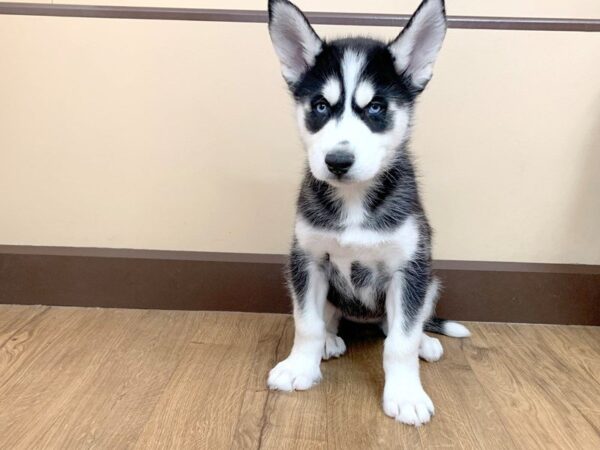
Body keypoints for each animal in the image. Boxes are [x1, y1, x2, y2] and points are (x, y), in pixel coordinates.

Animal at [266, 0, 468, 426]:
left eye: (375, 107)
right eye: (320, 106)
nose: (337, 161)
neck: (354, 200)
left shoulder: (409, 268)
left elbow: (400, 343)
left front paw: (406, 393)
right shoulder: (307, 260)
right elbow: (306, 323)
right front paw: (300, 366)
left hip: (429, 282)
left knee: (399, 325)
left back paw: (425, 341)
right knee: (329, 316)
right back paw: (330, 339)